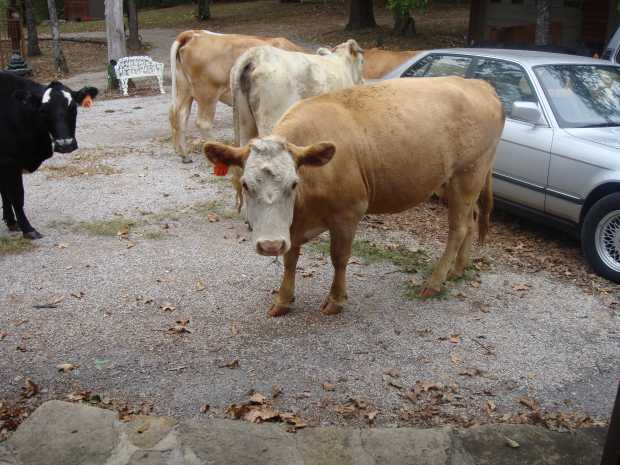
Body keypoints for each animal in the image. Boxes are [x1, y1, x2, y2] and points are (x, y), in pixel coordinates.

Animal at [0, 73, 97, 239]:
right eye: (43, 111)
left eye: (73, 108)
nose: (65, 144)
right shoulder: (8, 161)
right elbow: (17, 197)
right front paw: (28, 229)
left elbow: (5, 193)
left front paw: (12, 222)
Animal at [170, 29, 306, 162]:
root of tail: (193, 34)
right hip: (207, 92)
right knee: (203, 123)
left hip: (184, 88)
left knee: (179, 115)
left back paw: (184, 155)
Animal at [203, 78, 504, 318]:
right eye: (245, 185)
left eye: (294, 183)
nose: (269, 245)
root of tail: (478, 83)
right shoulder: (292, 226)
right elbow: (290, 259)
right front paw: (283, 299)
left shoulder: (348, 213)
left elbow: (339, 258)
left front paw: (336, 300)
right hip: (452, 180)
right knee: (472, 220)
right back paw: (458, 269)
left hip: (469, 174)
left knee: (458, 228)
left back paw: (435, 281)